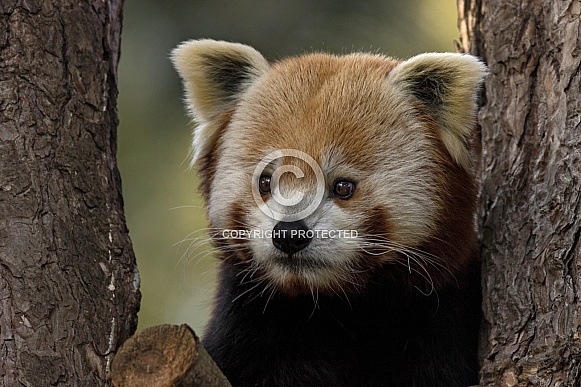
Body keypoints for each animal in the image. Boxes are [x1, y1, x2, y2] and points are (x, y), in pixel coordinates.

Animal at [171, 40, 484, 387]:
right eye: (266, 182)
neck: (330, 308)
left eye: (343, 187)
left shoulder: (437, 320)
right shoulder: (244, 328)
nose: (289, 233)